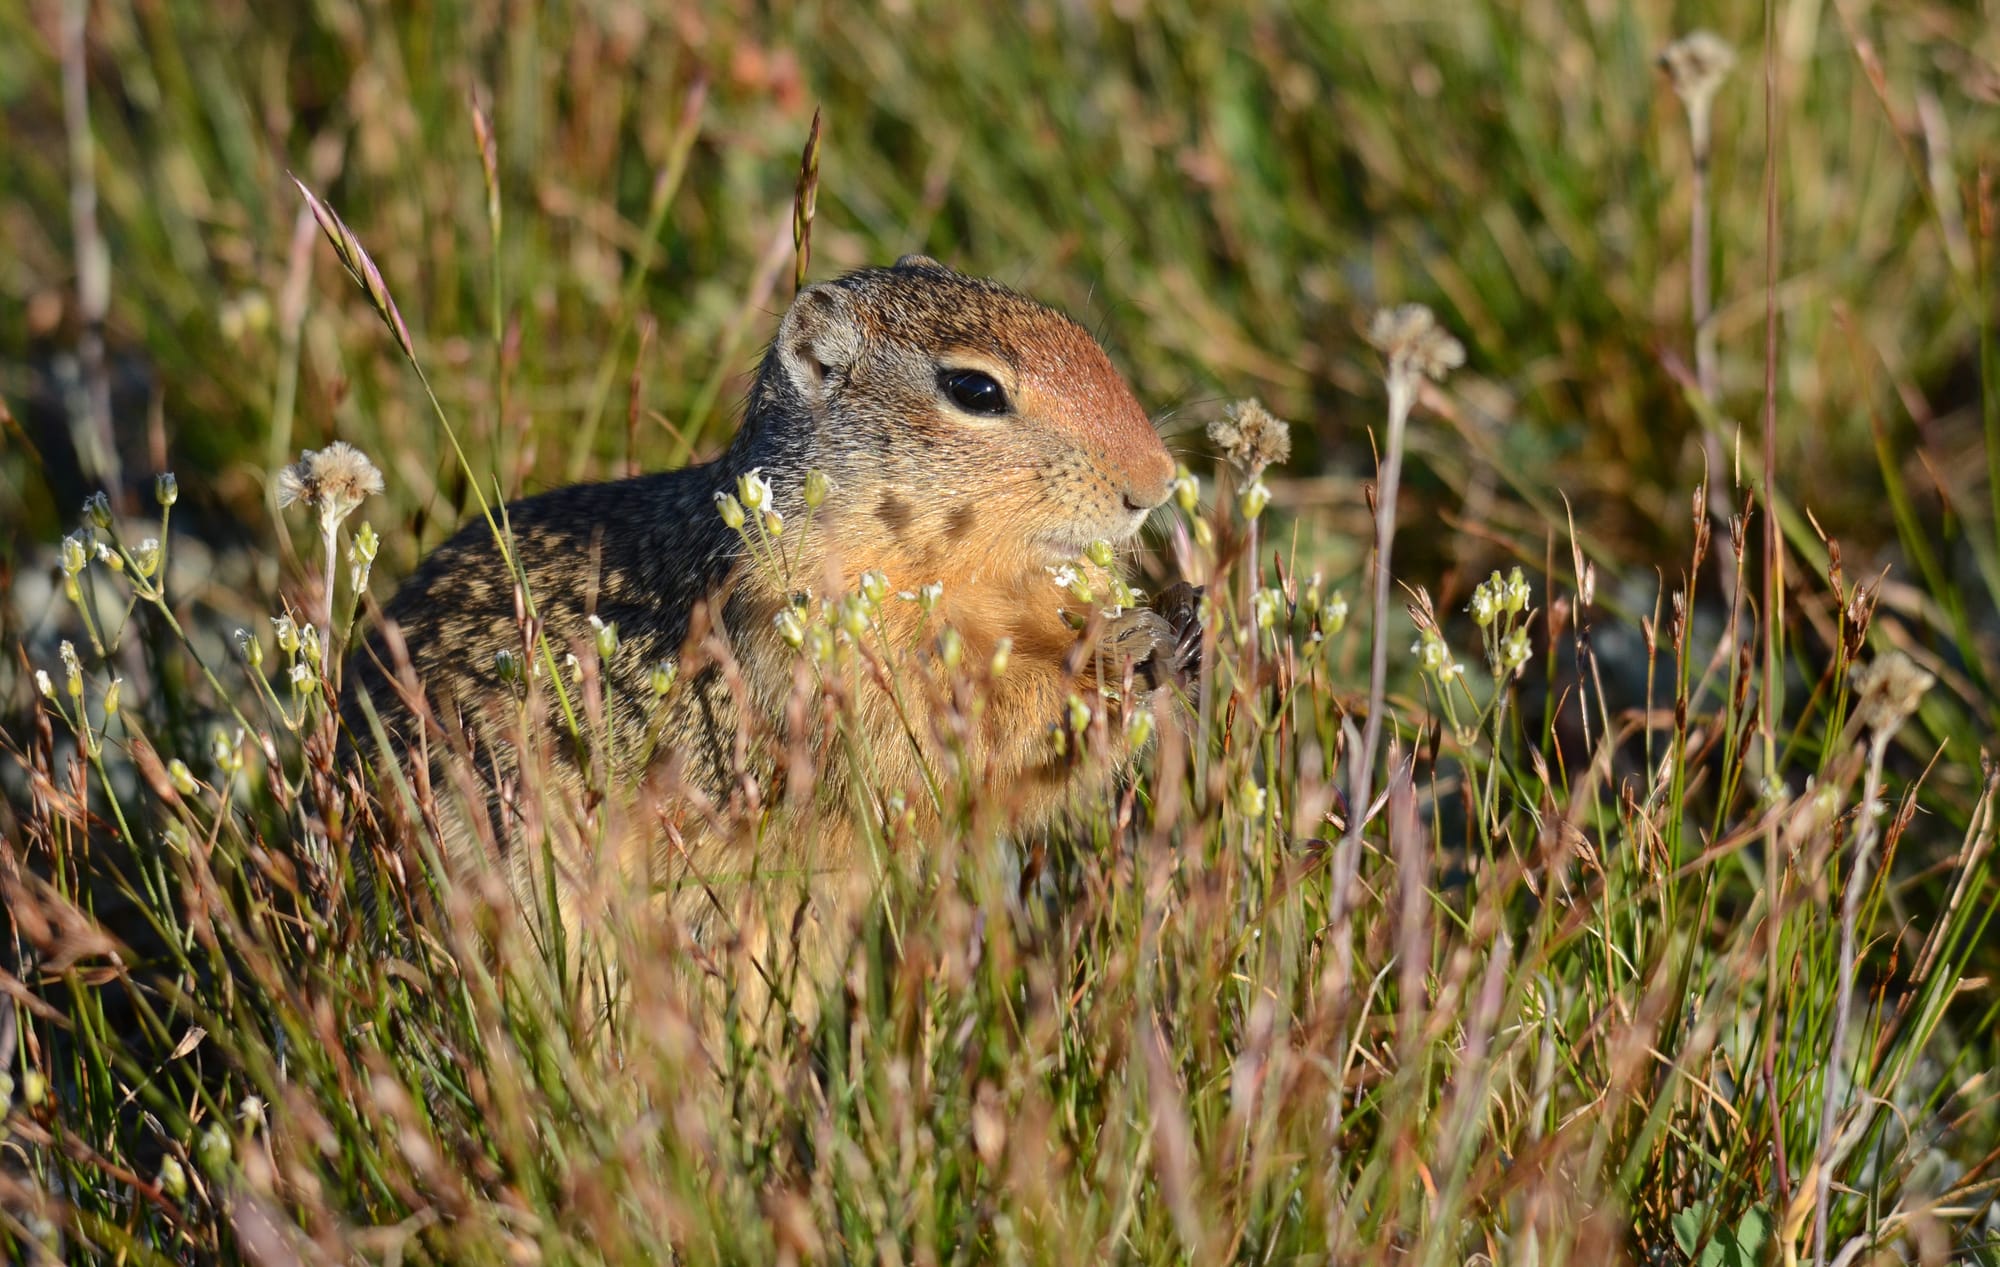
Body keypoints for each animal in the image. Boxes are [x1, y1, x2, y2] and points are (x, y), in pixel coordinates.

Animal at [342, 255, 1192, 1007]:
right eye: (973, 388)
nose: (1154, 483)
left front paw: (1159, 632)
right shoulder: (820, 659)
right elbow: (949, 736)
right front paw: (1111, 663)